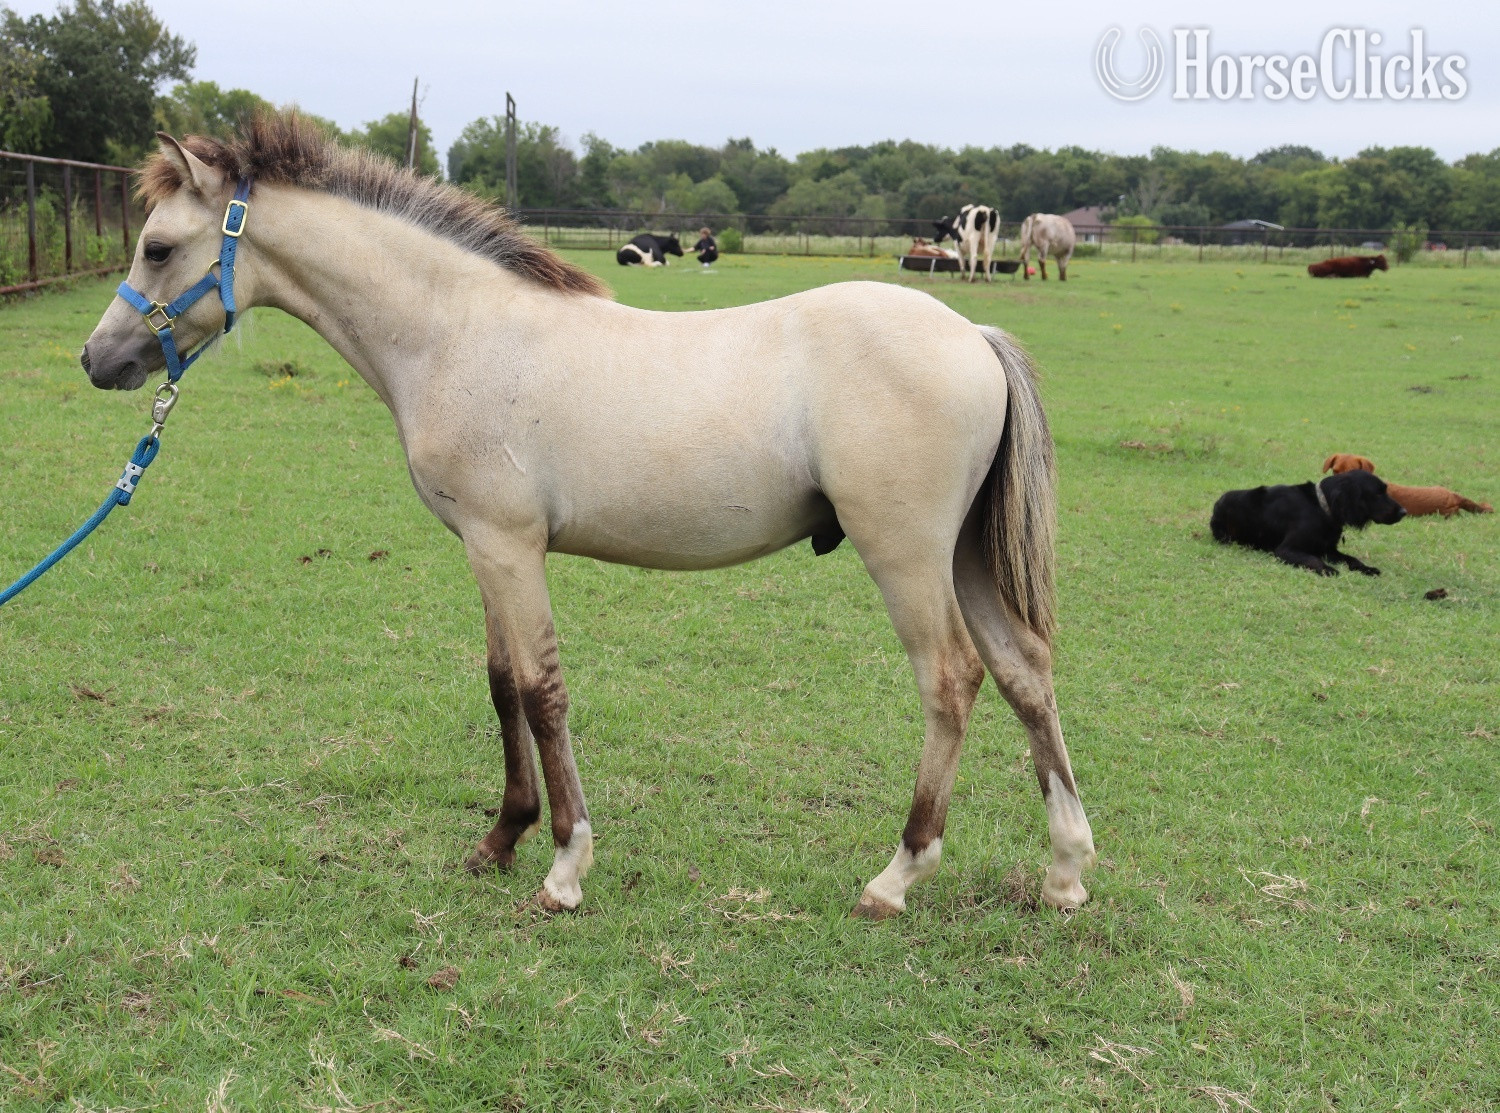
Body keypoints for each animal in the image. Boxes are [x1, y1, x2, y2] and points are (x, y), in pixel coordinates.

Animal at [80, 116, 1096, 918]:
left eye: (158, 246)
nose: (100, 360)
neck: (459, 333)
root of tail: (975, 336)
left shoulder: (509, 547)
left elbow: (541, 690)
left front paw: (564, 865)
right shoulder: (487, 550)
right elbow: (500, 684)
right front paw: (500, 839)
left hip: (907, 554)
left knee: (951, 679)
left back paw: (897, 875)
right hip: (963, 555)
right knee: (1025, 672)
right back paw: (1064, 870)